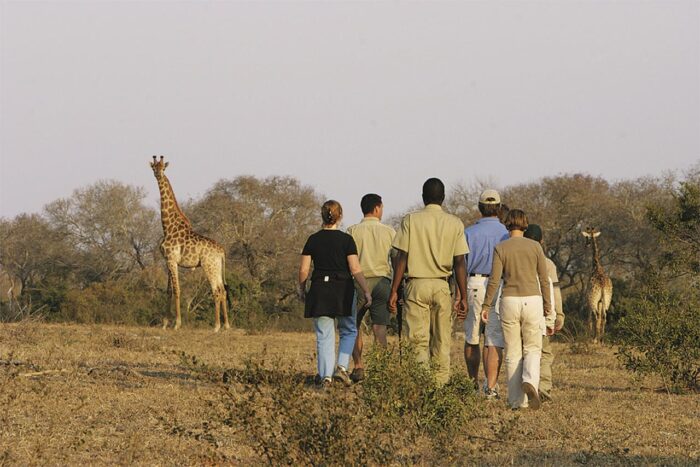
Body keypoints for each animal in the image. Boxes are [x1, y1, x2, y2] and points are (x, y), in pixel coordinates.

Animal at [151, 157, 232, 332]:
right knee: (222, 290)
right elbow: (168, 291)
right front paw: (165, 323)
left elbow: (177, 290)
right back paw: (227, 325)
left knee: (216, 291)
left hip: (209, 265)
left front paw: (177, 324)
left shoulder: (172, 260)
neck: (168, 226)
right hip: (216, 267)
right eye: (154, 167)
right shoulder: (168, 260)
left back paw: (216, 326)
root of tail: (222, 251)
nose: (158, 175)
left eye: (163, 168)